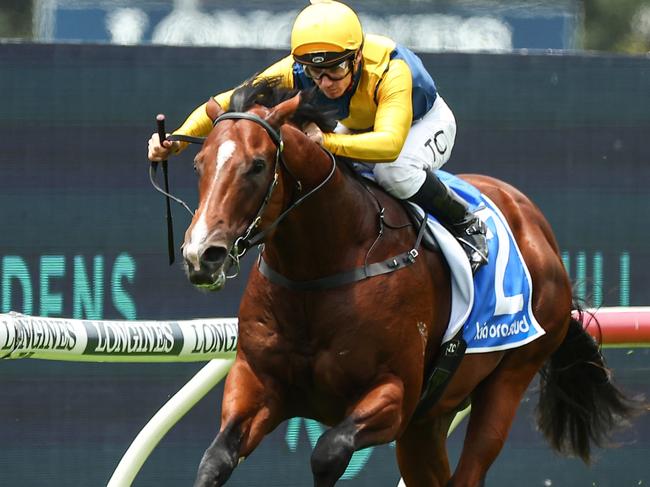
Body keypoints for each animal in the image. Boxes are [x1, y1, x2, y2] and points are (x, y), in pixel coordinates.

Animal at [176, 78, 632, 486]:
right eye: (200, 164)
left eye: (256, 165)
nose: (201, 254)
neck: (319, 271)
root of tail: (537, 227)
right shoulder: (257, 381)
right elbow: (216, 459)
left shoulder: (395, 393)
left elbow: (328, 452)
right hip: (428, 419)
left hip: (510, 377)